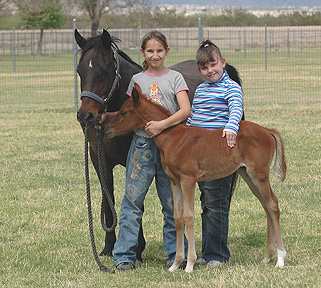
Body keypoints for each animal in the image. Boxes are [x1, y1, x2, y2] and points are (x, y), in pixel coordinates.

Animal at [74, 29, 241, 260]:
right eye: (80, 70)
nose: (86, 116)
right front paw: (109, 248)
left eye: (105, 70)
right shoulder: (100, 161)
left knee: (216, 202)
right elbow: (110, 201)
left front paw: (137, 248)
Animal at [105, 84, 288, 274]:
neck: (173, 138)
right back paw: (267, 257)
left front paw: (190, 264)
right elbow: (178, 217)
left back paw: (280, 258)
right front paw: (175, 264)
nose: (105, 128)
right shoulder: (174, 181)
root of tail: (267, 131)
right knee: (266, 206)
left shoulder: (188, 179)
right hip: (248, 175)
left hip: (259, 174)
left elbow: (189, 216)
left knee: (273, 204)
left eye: (123, 112)